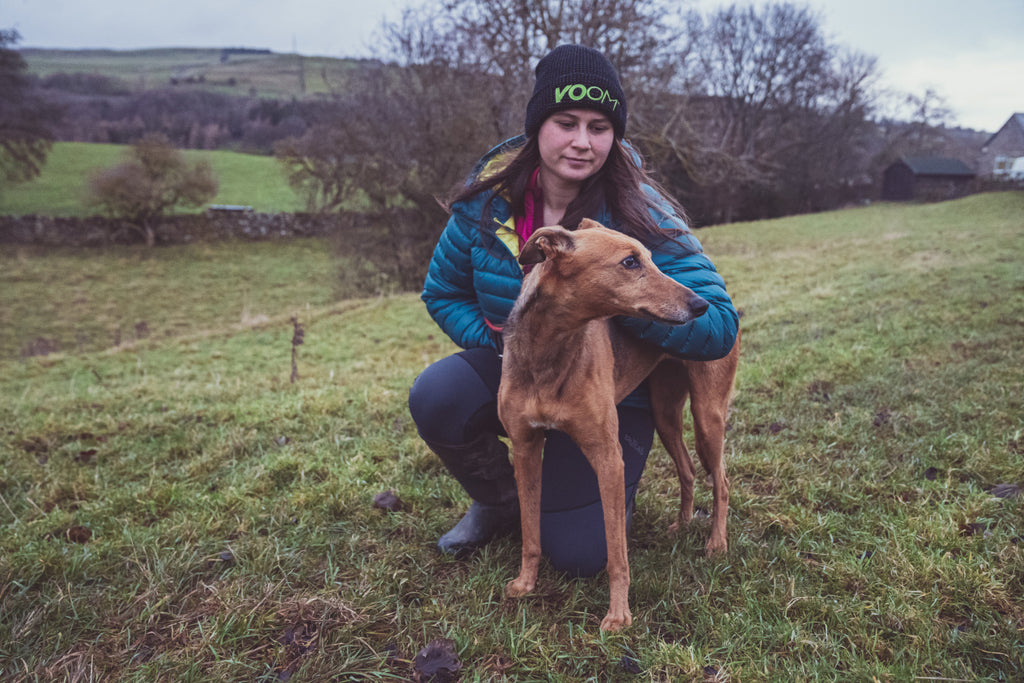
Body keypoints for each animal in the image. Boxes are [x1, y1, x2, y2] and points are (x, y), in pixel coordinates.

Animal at [495, 219, 737, 630]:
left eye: (651, 258)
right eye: (630, 261)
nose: (701, 306)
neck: (548, 355)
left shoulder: (608, 458)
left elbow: (615, 552)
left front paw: (619, 615)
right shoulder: (525, 449)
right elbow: (530, 533)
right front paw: (525, 584)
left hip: (708, 417)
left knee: (720, 480)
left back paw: (716, 543)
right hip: (665, 414)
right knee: (688, 470)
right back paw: (683, 524)